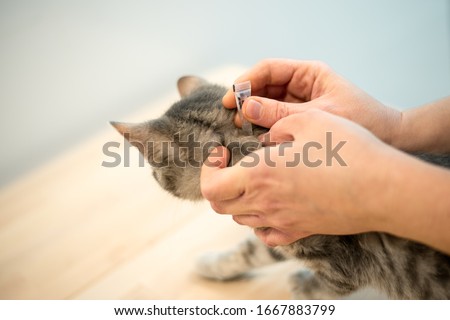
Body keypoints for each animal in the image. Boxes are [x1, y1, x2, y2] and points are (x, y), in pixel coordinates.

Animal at [111, 76, 450, 298]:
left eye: (155, 173)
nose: (155, 178)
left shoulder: (337, 264)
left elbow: (328, 287)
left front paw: (301, 284)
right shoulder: (275, 228)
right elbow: (251, 250)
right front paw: (212, 264)